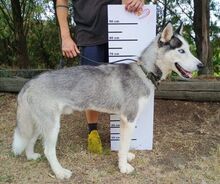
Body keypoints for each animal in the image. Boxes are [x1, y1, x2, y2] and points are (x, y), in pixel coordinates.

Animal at [12, 23, 204, 180]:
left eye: (189, 49)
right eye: (181, 51)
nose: (201, 65)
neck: (144, 71)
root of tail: (30, 81)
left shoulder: (125, 120)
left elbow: (124, 145)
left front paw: (125, 158)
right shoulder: (129, 119)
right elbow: (125, 145)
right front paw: (124, 167)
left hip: (40, 123)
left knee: (30, 139)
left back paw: (31, 156)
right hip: (52, 126)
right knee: (48, 150)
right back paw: (60, 172)